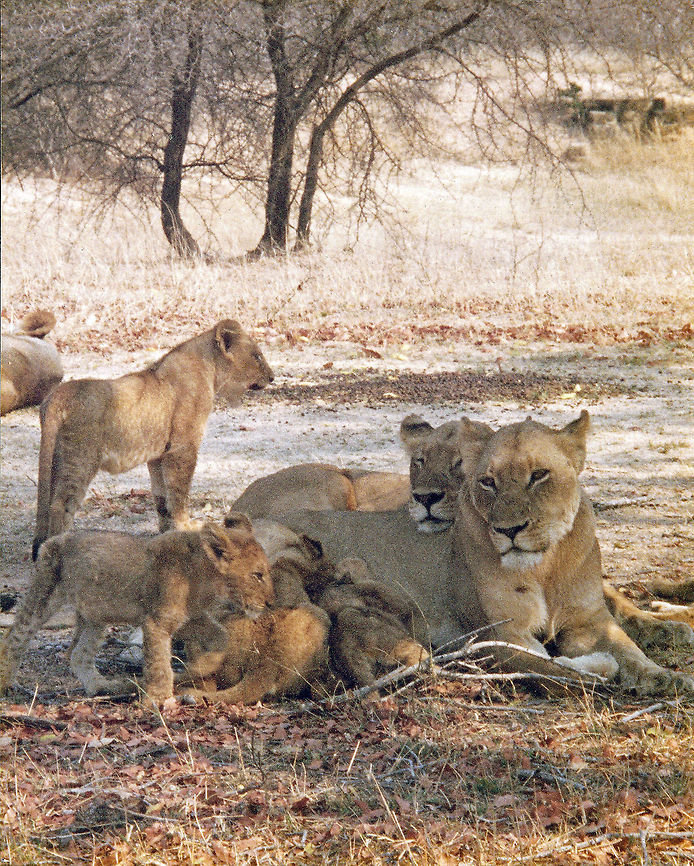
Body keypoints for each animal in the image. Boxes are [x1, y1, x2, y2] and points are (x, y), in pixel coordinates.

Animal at [0, 513, 274, 704]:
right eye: (257, 575)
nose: (271, 603)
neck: (205, 581)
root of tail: (55, 538)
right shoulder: (157, 622)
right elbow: (158, 663)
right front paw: (160, 701)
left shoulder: (190, 619)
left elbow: (221, 637)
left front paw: (202, 666)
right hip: (44, 595)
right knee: (15, 637)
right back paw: (6, 682)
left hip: (96, 616)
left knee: (78, 654)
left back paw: (102, 686)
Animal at [32, 319, 273, 560]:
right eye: (257, 356)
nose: (272, 377)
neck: (211, 370)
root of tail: (57, 395)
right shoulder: (183, 448)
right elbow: (179, 494)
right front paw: (186, 528)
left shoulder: (158, 455)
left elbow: (162, 498)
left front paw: (167, 534)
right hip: (80, 459)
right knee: (60, 505)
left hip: (58, 459)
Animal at [254, 412, 693, 697]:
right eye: (487, 481)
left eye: (539, 475)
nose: (509, 531)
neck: (545, 566)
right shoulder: (499, 633)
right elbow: (549, 667)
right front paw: (596, 669)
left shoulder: (590, 621)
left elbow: (630, 649)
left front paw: (667, 676)